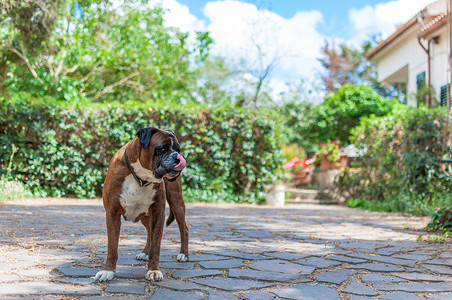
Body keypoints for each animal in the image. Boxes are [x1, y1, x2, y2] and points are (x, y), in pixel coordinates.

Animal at [94, 127, 188, 282]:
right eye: (162, 148)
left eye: (178, 149)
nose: (177, 156)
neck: (141, 177)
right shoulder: (112, 214)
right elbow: (112, 247)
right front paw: (108, 271)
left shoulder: (158, 213)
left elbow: (156, 246)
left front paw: (153, 270)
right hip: (145, 216)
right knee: (149, 232)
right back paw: (145, 252)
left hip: (176, 203)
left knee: (183, 229)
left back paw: (184, 254)